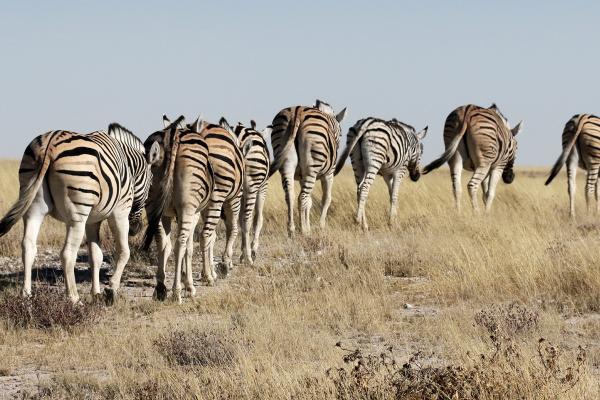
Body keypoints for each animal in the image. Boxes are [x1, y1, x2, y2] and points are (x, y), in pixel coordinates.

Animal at [0, 125, 159, 304]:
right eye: (151, 185)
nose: (135, 229)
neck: (129, 167)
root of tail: (50, 143)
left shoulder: (92, 221)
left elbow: (96, 256)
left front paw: (96, 293)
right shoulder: (120, 211)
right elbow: (124, 252)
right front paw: (111, 290)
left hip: (34, 205)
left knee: (28, 246)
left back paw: (26, 295)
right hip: (78, 213)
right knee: (67, 254)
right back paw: (74, 299)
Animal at [142, 115, 214, 304]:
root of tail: (173, 136)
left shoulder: (166, 214)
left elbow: (165, 246)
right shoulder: (194, 213)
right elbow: (189, 248)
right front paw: (189, 285)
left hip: (152, 205)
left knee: (161, 242)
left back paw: (160, 289)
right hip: (187, 208)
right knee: (179, 244)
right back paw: (176, 292)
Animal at [162, 114, 244, 286]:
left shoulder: (202, 206)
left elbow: (210, 238)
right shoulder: (234, 198)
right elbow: (232, 229)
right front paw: (224, 264)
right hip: (219, 197)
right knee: (205, 235)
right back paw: (208, 276)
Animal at [219, 117, 270, 264]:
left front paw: (241, 250)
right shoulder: (263, 187)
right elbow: (258, 219)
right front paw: (252, 250)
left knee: (231, 221)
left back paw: (228, 255)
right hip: (253, 185)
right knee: (247, 220)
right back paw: (248, 257)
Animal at [268, 100, 346, 236]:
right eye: (341, 133)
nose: (338, 144)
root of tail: (297, 112)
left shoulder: (301, 177)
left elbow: (309, 203)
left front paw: (307, 226)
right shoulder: (329, 174)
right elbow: (326, 199)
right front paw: (320, 226)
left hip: (286, 162)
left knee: (290, 196)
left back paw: (292, 229)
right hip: (312, 167)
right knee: (302, 197)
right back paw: (302, 230)